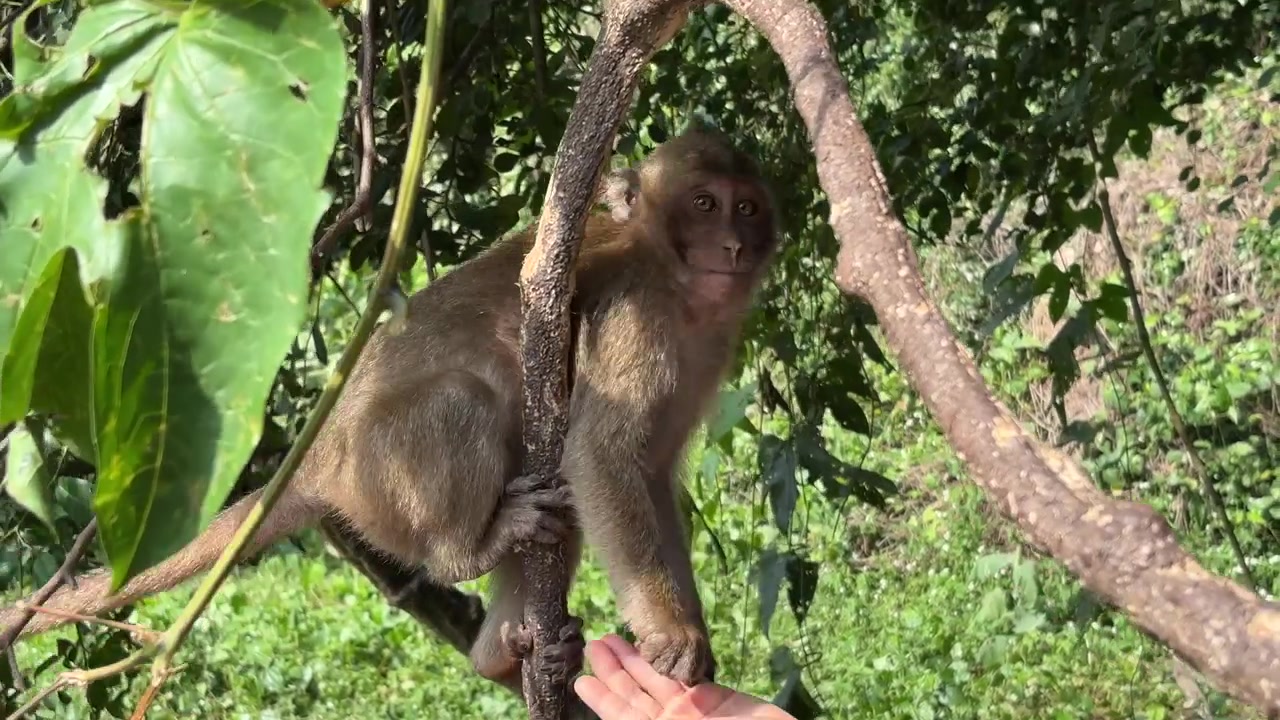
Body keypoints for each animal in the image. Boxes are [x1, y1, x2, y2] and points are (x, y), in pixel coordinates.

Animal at [0, 126, 780, 693]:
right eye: (705, 203)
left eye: (747, 205)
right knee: (473, 405)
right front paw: (671, 632)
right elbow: (605, 457)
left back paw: (502, 650)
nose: (734, 244)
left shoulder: (708, 345)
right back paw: (468, 553)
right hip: (377, 478)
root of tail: (318, 460)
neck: (676, 281)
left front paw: (691, 637)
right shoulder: (636, 318)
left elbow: (648, 475)